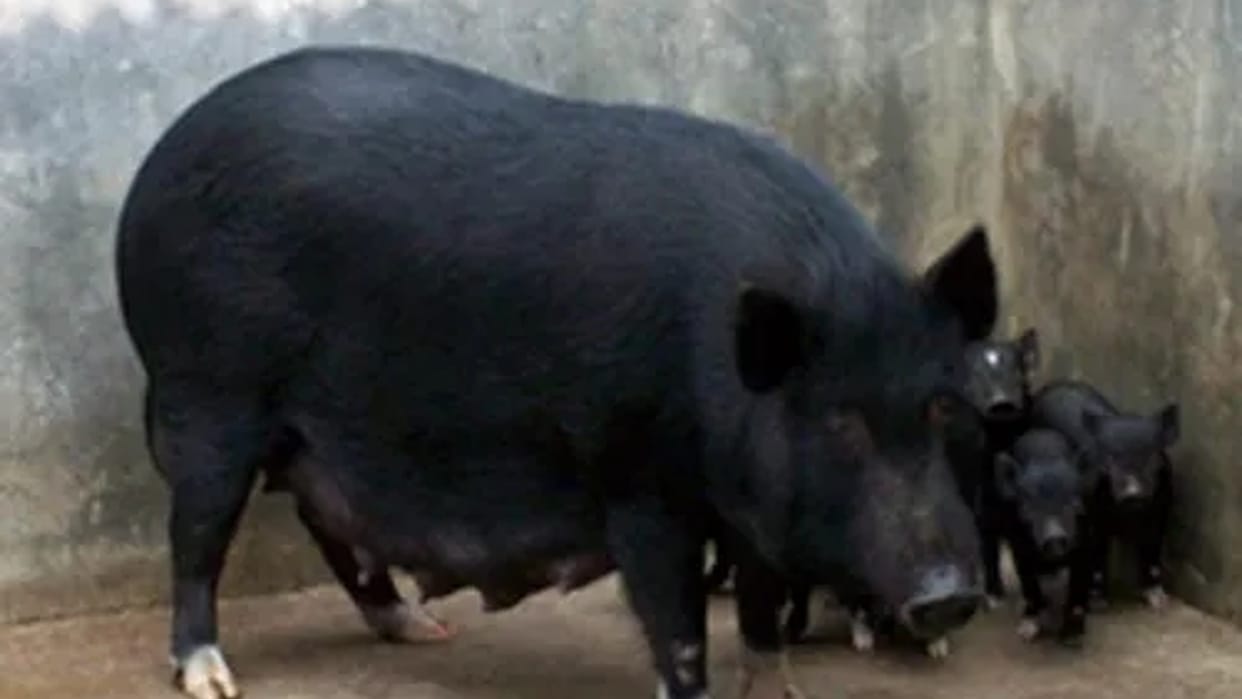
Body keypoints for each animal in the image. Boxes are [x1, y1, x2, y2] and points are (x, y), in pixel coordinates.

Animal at [115, 45, 998, 699]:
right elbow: (678, 628)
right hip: (208, 392)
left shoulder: (744, 515)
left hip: (300, 433)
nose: (951, 592)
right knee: (197, 534)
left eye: (941, 407)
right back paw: (210, 678)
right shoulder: (639, 480)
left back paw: (424, 632)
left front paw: (779, 690)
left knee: (327, 523)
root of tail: (159, 159)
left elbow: (759, 606)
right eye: (842, 420)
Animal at [994, 428, 1096, 645]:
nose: (1054, 536)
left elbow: (1079, 583)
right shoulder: (1018, 547)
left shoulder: (1086, 542)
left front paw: (1072, 635)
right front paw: (1026, 631)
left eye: (1074, 504)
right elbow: (1028, 583)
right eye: (1027, 509)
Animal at [1029, 380, 1180, 611]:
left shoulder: (1162, 510)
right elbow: (1097, 554)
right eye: (1110, 457)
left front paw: (1159, 601)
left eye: (1150, 454)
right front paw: (1098, 603)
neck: (1128, 516)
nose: (1131, 493)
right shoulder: (1092, 514)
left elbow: (1153, 552)